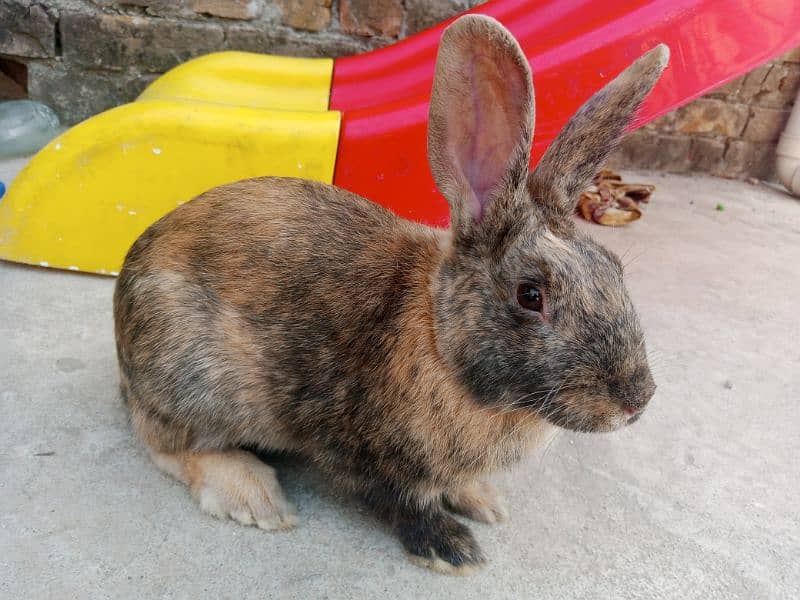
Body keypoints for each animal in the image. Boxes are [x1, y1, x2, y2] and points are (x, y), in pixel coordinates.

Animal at [112, 14, 664, 576]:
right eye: (530, 294)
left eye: (614, 268)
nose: (636, 401)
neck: (439, 342)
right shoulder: (361, 450)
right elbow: (401, 501)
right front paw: (453, 550)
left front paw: (484, 501)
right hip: (195, 377)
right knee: (166, 443)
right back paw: (254, 498)